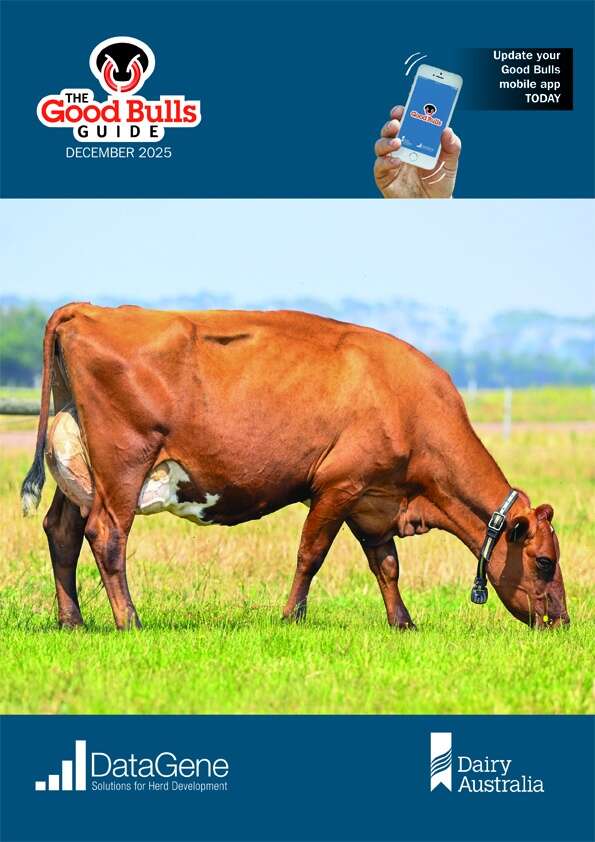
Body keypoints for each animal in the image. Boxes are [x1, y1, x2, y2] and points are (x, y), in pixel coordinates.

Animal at [21, 303, 569, 631]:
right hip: (123, 463)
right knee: (107, 534)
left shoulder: (373, 498)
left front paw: (403, 623)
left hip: (78, 468)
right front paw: (292, 617)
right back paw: (129, 621)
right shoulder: (338, 485)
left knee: (62, 531)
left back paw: (72, 621)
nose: (562, 622)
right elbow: (312, 554)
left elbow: (386, 564)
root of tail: (92, 309)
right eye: (545, 561)